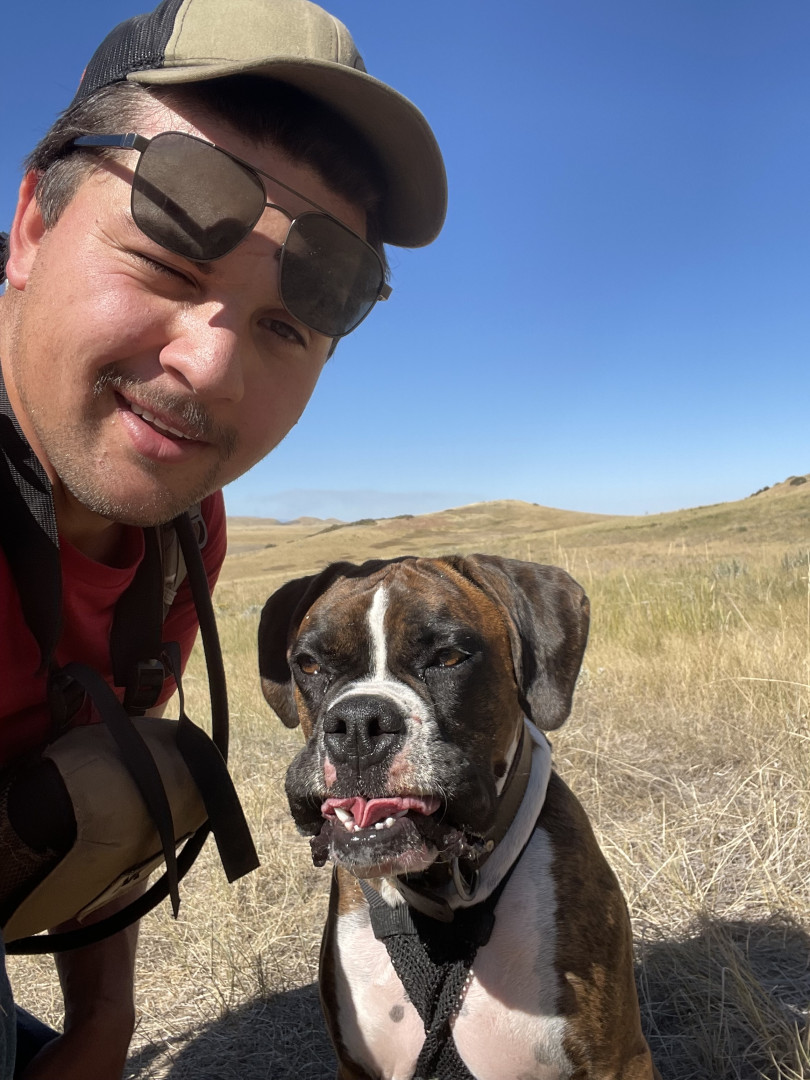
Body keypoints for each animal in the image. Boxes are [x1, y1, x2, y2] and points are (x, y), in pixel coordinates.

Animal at [259, 555, 661, 1080]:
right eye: (308, 664)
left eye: (449, 658)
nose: (359, 722)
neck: (438, 899)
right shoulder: (356, 1067)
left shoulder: (618, 1060)